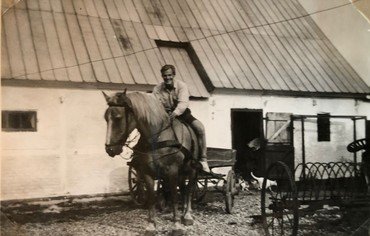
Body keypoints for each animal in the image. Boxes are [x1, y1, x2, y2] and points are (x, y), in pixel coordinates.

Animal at [102, 90, 199, 232]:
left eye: (118, 117)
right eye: (105, 118)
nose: (110, 149)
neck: (157, 138)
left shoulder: (172, 171)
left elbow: (174, 196)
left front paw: (176, 225)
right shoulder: (147, 172)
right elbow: (151, 197)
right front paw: (151, 224)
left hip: (190, 169)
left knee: (189, 189)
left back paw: (187, 215)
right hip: (181, 171)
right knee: (183, 188)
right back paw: (182, 214)